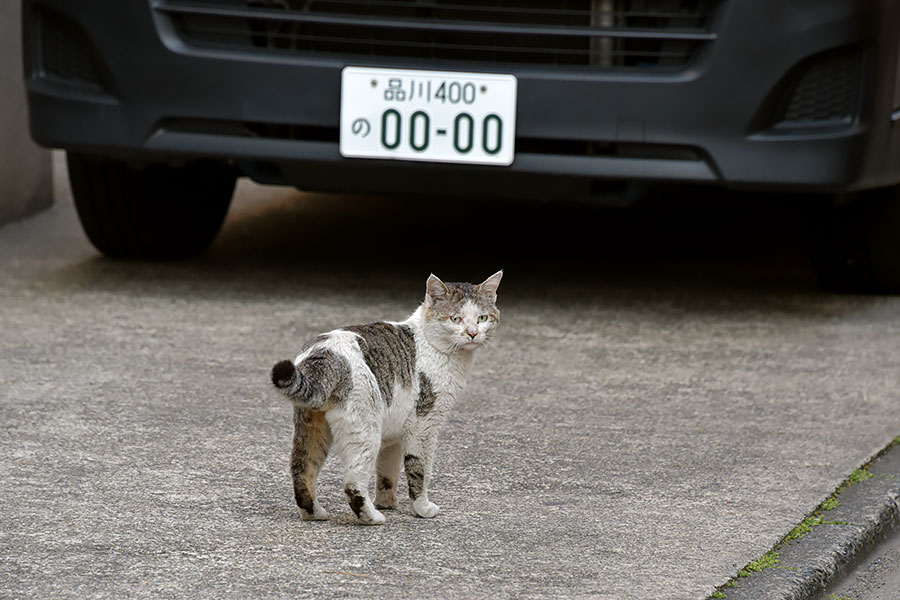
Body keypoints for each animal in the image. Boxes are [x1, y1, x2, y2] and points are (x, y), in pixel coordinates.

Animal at [270, 272, 502, 524]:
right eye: (455, 318)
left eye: (482, 318)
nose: (472, 333)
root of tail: (324, 355)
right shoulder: (424, 427)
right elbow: (420, 471)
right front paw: (422, 508)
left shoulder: (393, 434)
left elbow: (387, 472)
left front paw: (387, 502)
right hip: (366, 431)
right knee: (353, 483)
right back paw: (372, 517)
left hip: (313, 429)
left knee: (301, 470)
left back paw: (315, 513)